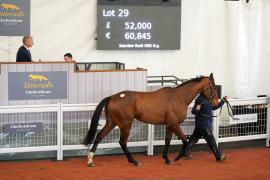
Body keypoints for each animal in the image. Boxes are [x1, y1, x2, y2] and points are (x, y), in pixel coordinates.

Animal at [82, 72, 219, 167]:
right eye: (214, 87)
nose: (216, 103)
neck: (178, 97)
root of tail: (112, 97)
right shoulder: (174, 124)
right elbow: (185, 139)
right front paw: (179, 156)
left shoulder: (169, 125)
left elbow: (167, 140)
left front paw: (167, 159)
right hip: (125, 124)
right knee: (122, 142)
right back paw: (134, 161)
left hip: (112, 122)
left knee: (99, 136)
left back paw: (90, 161)